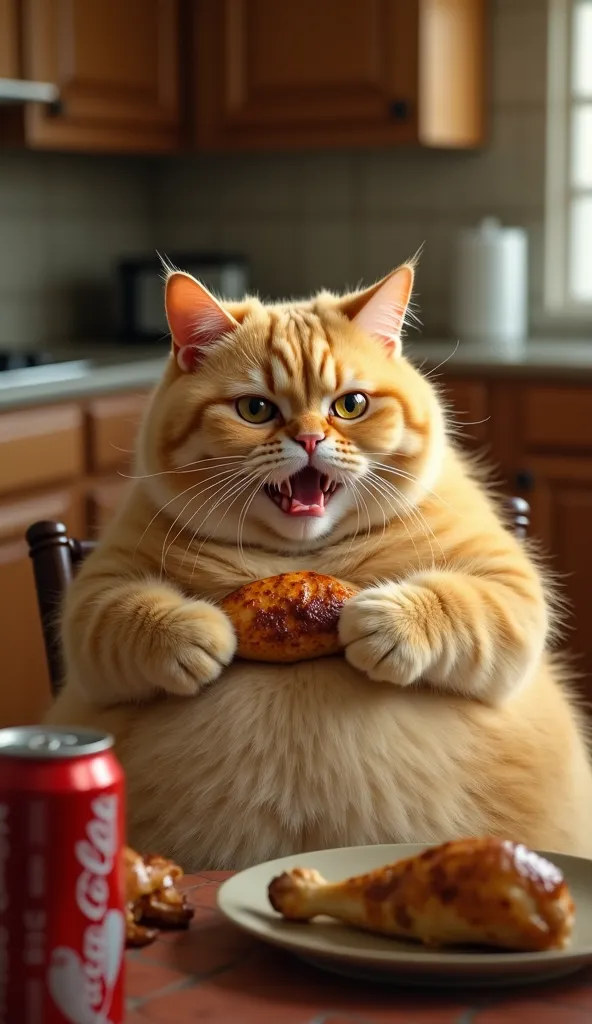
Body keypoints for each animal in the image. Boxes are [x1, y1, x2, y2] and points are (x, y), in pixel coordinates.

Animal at [47, 262, 592, 864]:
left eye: (349, 405)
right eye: (256, 409)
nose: (309, 438)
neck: (302, 550)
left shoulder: (508, 587)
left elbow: (457, 601)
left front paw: (383, 624)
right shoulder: (95, 600)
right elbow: (131, 615)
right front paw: (198, 635)